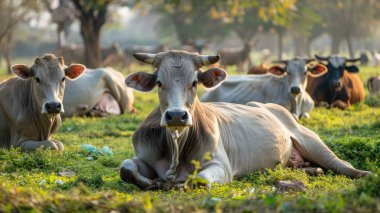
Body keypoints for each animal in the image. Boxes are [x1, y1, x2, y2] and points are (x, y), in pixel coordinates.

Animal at [120, 50, 370, 191]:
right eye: (159, 83)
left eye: (194, 82)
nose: (175, 115)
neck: (175, 145)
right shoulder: (143, 156)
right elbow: (126, 168)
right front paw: (151, 182)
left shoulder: (221, 166)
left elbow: (198, 181)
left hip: (311, 140)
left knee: (341, 164)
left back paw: (365, 175)